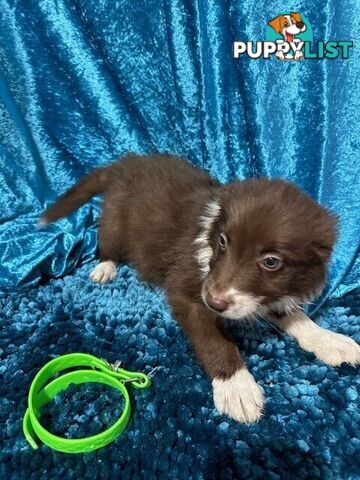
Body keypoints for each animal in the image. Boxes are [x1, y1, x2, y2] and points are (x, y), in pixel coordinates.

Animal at [40, 155, 360, 424]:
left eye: (271, 262)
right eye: (223, 241)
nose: (214, 302)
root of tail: (128, 163)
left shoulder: (265, 293)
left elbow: (298, 318)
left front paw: (330, 341)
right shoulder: (188, 291)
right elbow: (213, 339)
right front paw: (236, 387)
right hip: (116, 220)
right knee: (107, 242)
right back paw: (105, 267)